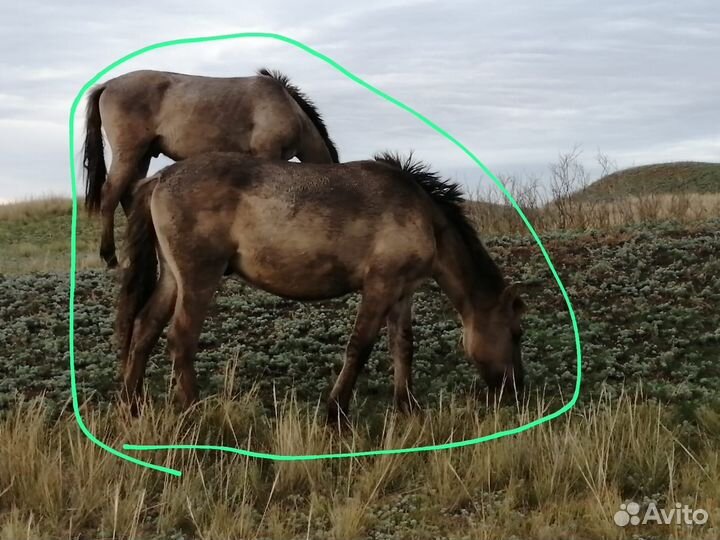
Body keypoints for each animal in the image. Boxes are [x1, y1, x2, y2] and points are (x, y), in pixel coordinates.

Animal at [82, 68, 339, 268]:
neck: (286, 107)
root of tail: (106, 85)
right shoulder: (268, 155)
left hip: (142, 156)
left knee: (130, 195)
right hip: (129, 154)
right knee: (110, 195)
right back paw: (110, 258)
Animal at [116, 152, 526, 422]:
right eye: (516, 333)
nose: (517, 390)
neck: (423, 217)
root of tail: (158, 179)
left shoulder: (402, 290)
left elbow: (403, 346)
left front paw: (408, 405)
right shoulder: (380, 285)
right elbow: (359, 346)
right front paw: (336, 411)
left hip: (172, 277)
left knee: (145, 328)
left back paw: (133, 404)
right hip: (199, 276)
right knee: (181, 339)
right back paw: (194, 410)